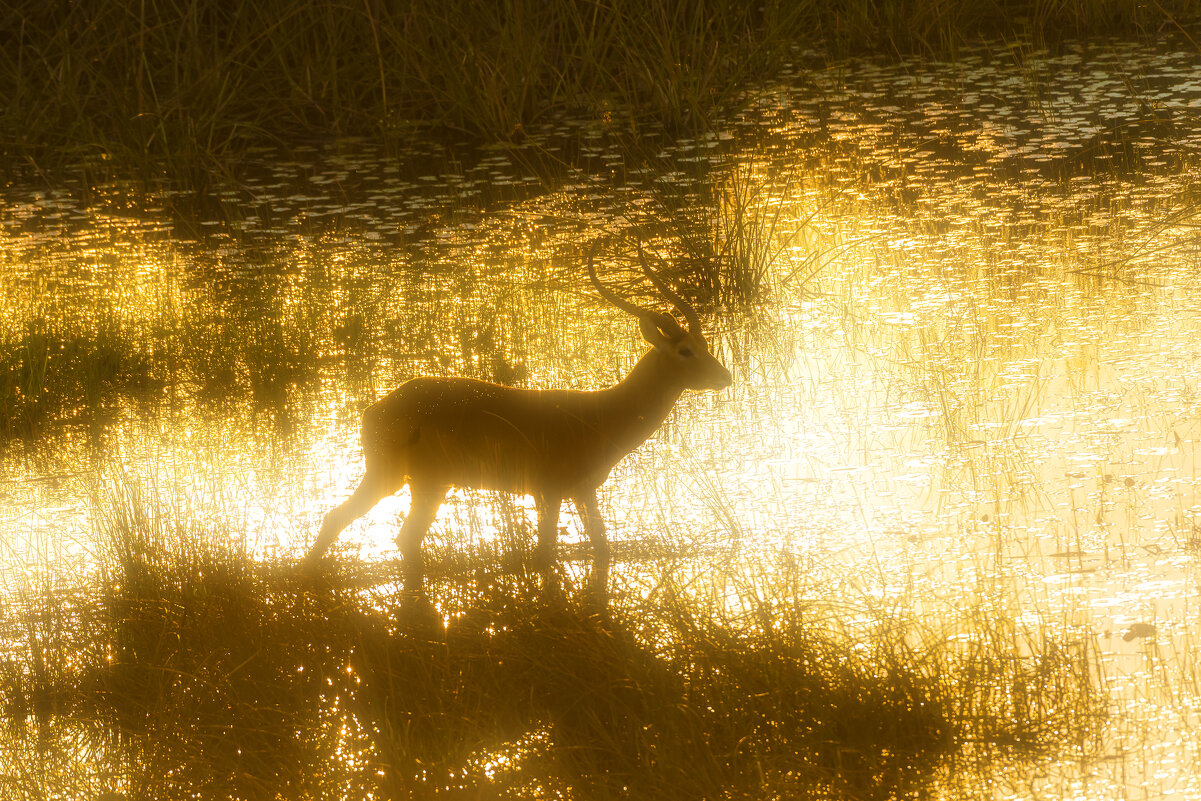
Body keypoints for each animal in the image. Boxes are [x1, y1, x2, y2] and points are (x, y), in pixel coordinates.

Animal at [305, 241, 730, 574]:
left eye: (705, 343)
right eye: (685, 350)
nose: (724, 376)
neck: (599, 414)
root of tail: (376, 408)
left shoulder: (583, 493)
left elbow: (601, 550)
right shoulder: (549, 494)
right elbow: (545, 555)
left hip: (428, 484)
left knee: (395, 536)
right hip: (395, 478)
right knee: (343, 520)